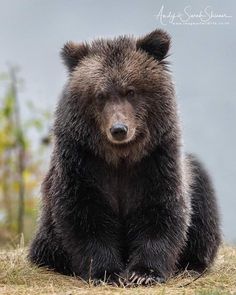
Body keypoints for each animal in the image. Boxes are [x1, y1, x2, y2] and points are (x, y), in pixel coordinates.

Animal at [28, 30, 221, 286]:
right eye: (100, 94)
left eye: (131, 91)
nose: (119, 129)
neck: (120, 157)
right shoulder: (81, 163)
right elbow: (84, 215)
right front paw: (106, 272)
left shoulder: (155, 162)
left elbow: (160, 210)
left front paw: (143, 273)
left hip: (195, 180)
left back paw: (193, 265)